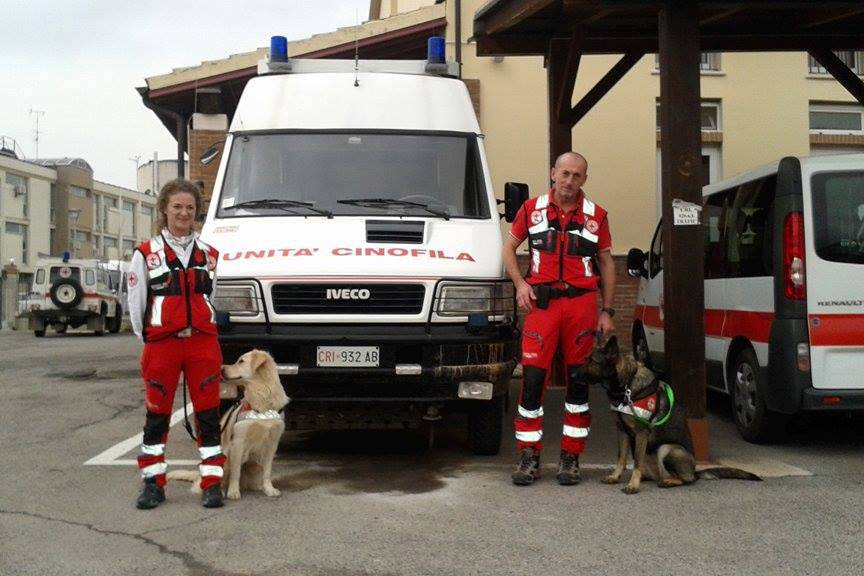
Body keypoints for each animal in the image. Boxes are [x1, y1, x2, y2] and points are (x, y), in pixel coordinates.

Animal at [580, 338, 756, 496]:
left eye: (591, 361)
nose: (574, 372)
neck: (626, 385)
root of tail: (694, 471)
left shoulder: (641, 434)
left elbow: (636, 464)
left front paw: (633, 485)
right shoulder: (622, 432)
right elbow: (621, 458)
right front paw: (615, 477)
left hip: (667, 449)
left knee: (687, 480)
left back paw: (668, 481)